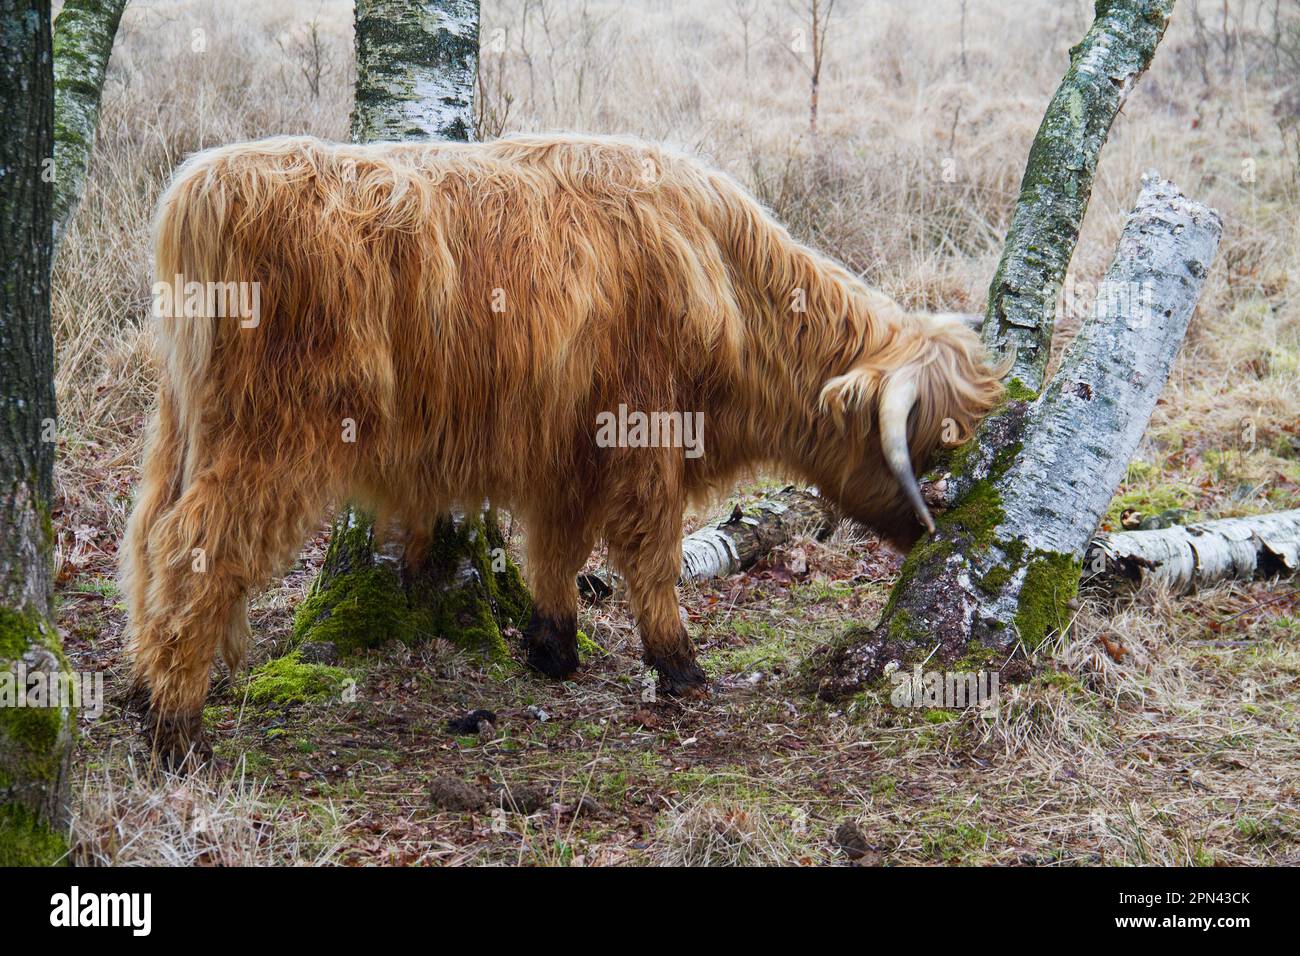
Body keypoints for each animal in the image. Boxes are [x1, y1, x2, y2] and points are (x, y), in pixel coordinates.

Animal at [122, 132, 998, 764]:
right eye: (932, 445)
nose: (934, 532)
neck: (729, 283)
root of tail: (207, 182)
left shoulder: (568, 450)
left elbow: (558, 544)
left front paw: (552, 646)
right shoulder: (643, 431)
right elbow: (649, 551)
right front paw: (679, 664)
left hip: (183, 425)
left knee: (146, 534)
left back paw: (143, 685)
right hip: (275, 434)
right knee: (193, 544)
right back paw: (178, 730)